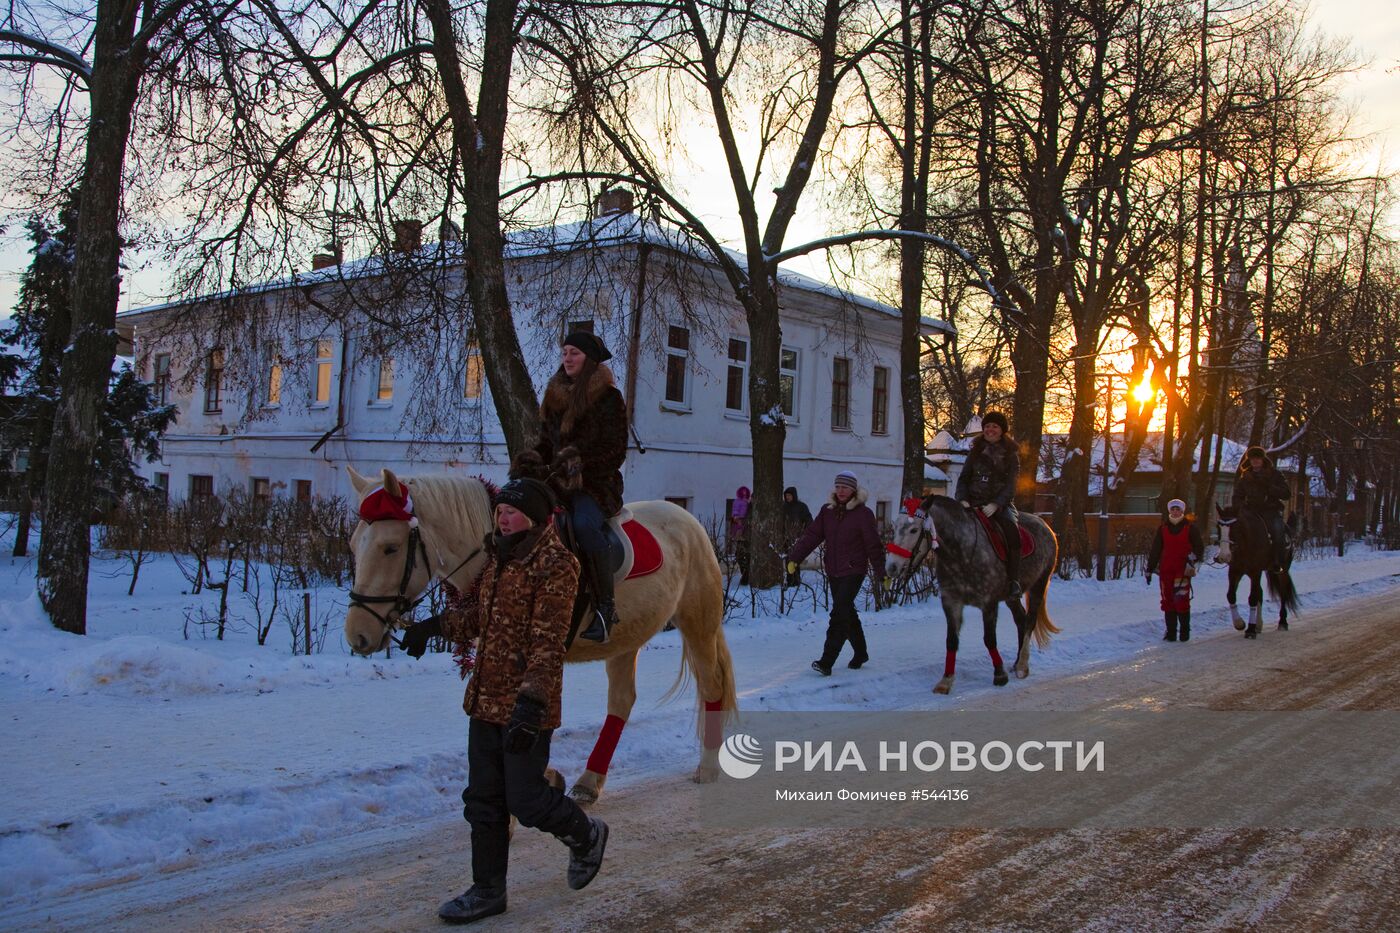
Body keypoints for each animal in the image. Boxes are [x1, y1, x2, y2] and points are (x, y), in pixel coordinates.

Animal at [344, 465, 739, 801]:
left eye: (390, 547)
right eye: (352, 544)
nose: (357, 635)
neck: (508, 551)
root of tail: (688, 521)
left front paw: (541, 775)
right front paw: (548, 775)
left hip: (698, 622)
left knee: (711, 686)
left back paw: (707, 766)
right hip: (628, 636)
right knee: (622, 701)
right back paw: (589, 781)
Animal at [884, 493, 1058, 689]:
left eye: (914, 530)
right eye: (895, 527)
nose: (891, 567)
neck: (961, 552)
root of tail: (1046, 526)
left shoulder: (989, 603)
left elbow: (989, 639)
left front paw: (999, 674)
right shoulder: (951, 602)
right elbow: (951, 640)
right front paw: (946, 680)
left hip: (1039, 584)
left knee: (1030, 621)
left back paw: (1022, 665)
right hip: (1011, 597)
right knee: (1020, 620)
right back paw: (1016, 662)